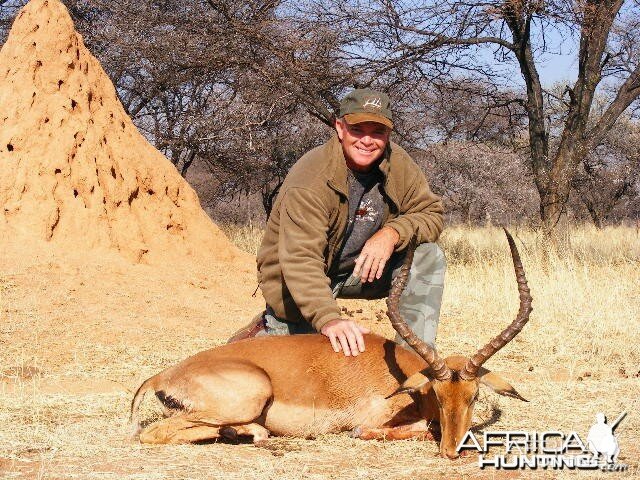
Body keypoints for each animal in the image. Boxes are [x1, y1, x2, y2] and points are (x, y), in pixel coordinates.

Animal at [129, 231, 528, 460]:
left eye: (473, 396)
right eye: (439, 394)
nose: (451, 451)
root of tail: (161, 377)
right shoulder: (375, 419)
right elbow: (403, 429)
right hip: (250, 395)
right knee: (153, 433)